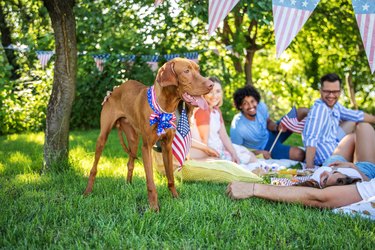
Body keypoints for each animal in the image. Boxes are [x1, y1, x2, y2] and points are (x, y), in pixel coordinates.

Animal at [85, 57, 214, 210]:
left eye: (198, 70)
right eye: (186, 71)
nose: (211, 84)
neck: (163, 107)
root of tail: (115, 91)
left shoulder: (167, 147)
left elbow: (170, 177)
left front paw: (176, 198)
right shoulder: (146, 147)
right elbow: (151, 182)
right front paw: (154, 207)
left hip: (133, 139)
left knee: (130, 163)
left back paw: (128, 186)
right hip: (103, 137)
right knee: (94, 167)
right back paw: (87, 192)